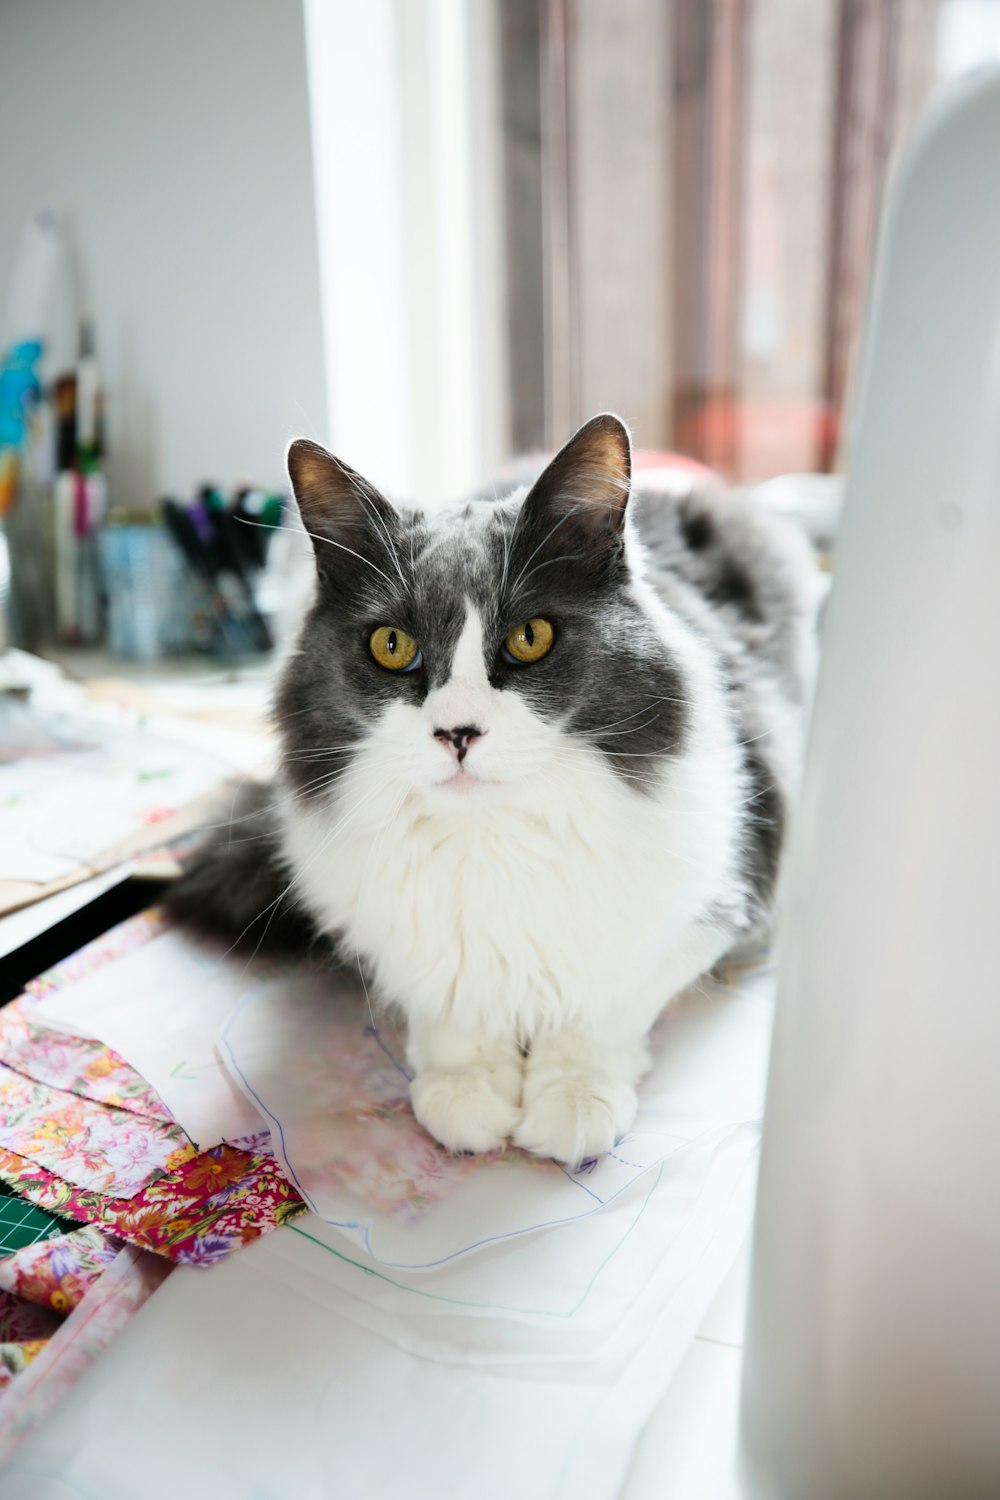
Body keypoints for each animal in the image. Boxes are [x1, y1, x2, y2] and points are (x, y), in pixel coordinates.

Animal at [167, 417, 815, 1164]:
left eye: (530, 638)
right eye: (392, 645)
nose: (458, 733)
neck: (490, 839)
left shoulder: (718, 902)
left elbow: (607, 1004)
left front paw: (572, 1098)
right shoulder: (393, 933)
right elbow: (447, 1004)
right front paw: (466, 1089)